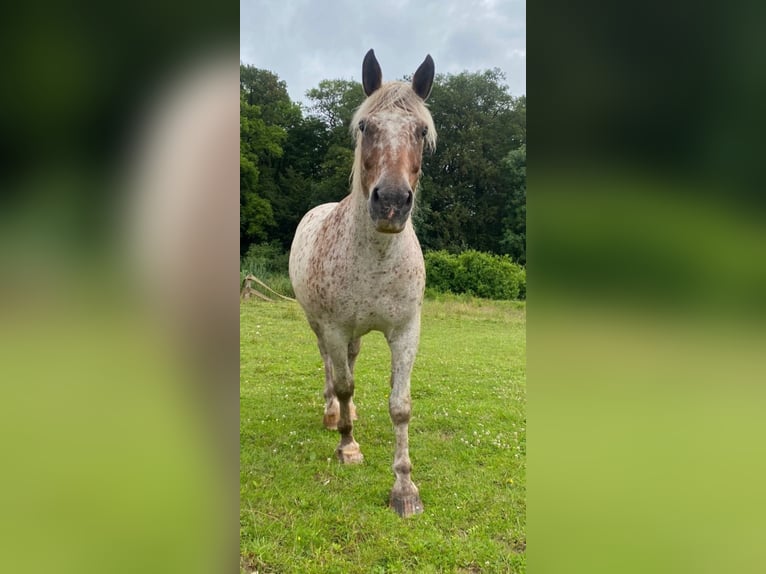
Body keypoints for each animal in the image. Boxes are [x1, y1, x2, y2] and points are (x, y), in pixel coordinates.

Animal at [289, 49, 436, 517]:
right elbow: (344, 383)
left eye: (421, 130)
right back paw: (334, 416)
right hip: (320, 327)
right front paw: (348, 447)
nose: (390, 203)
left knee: (349, 360)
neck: (375, 261)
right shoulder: (335, 327)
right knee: (330, 367)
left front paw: (404, 488)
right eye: (365, 126)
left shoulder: (405, 331)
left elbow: (400, 406)